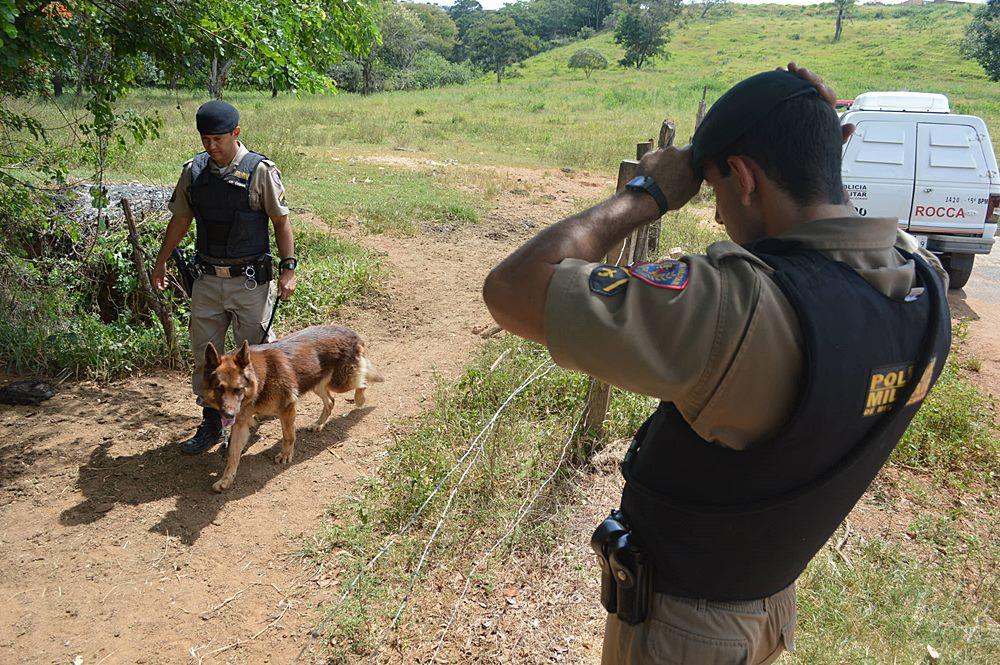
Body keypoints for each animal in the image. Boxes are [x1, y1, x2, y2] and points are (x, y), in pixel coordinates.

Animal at [201, 324, 380, 490]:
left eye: (238, 389)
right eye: (219, 388)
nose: (228, 415)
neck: (260, 380)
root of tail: (349, 331)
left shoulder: (287, 409)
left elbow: (288, 436)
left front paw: (286, 455)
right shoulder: (240, 425)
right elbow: (233, 454)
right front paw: (226, 480)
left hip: (341, 382)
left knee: (362, 379)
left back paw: (360, 399)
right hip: (317, 383)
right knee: (330, 401)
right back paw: (319, 424)